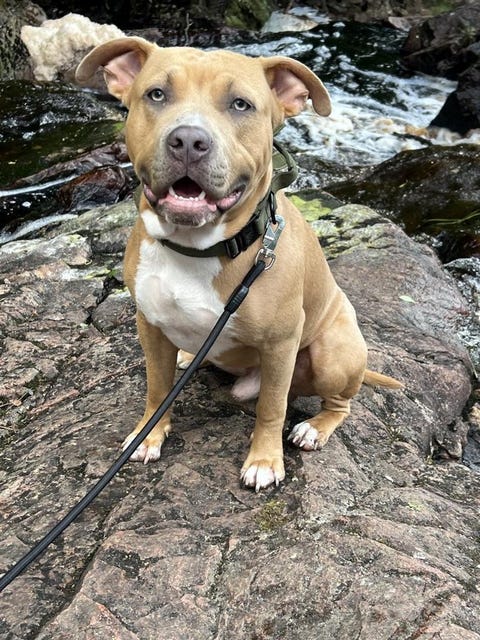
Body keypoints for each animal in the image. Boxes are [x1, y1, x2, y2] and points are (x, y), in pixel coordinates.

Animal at [76, 37, 402, 491]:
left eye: (240, 105)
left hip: (332, 351)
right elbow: (157, 388)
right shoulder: (149, 324)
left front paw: (265, 461)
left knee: (339, 404)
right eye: (156, 94)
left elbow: (272, 407)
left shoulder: (281, 344)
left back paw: (314, 428)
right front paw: (149, 435)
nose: (188, 140)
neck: (197, 249)